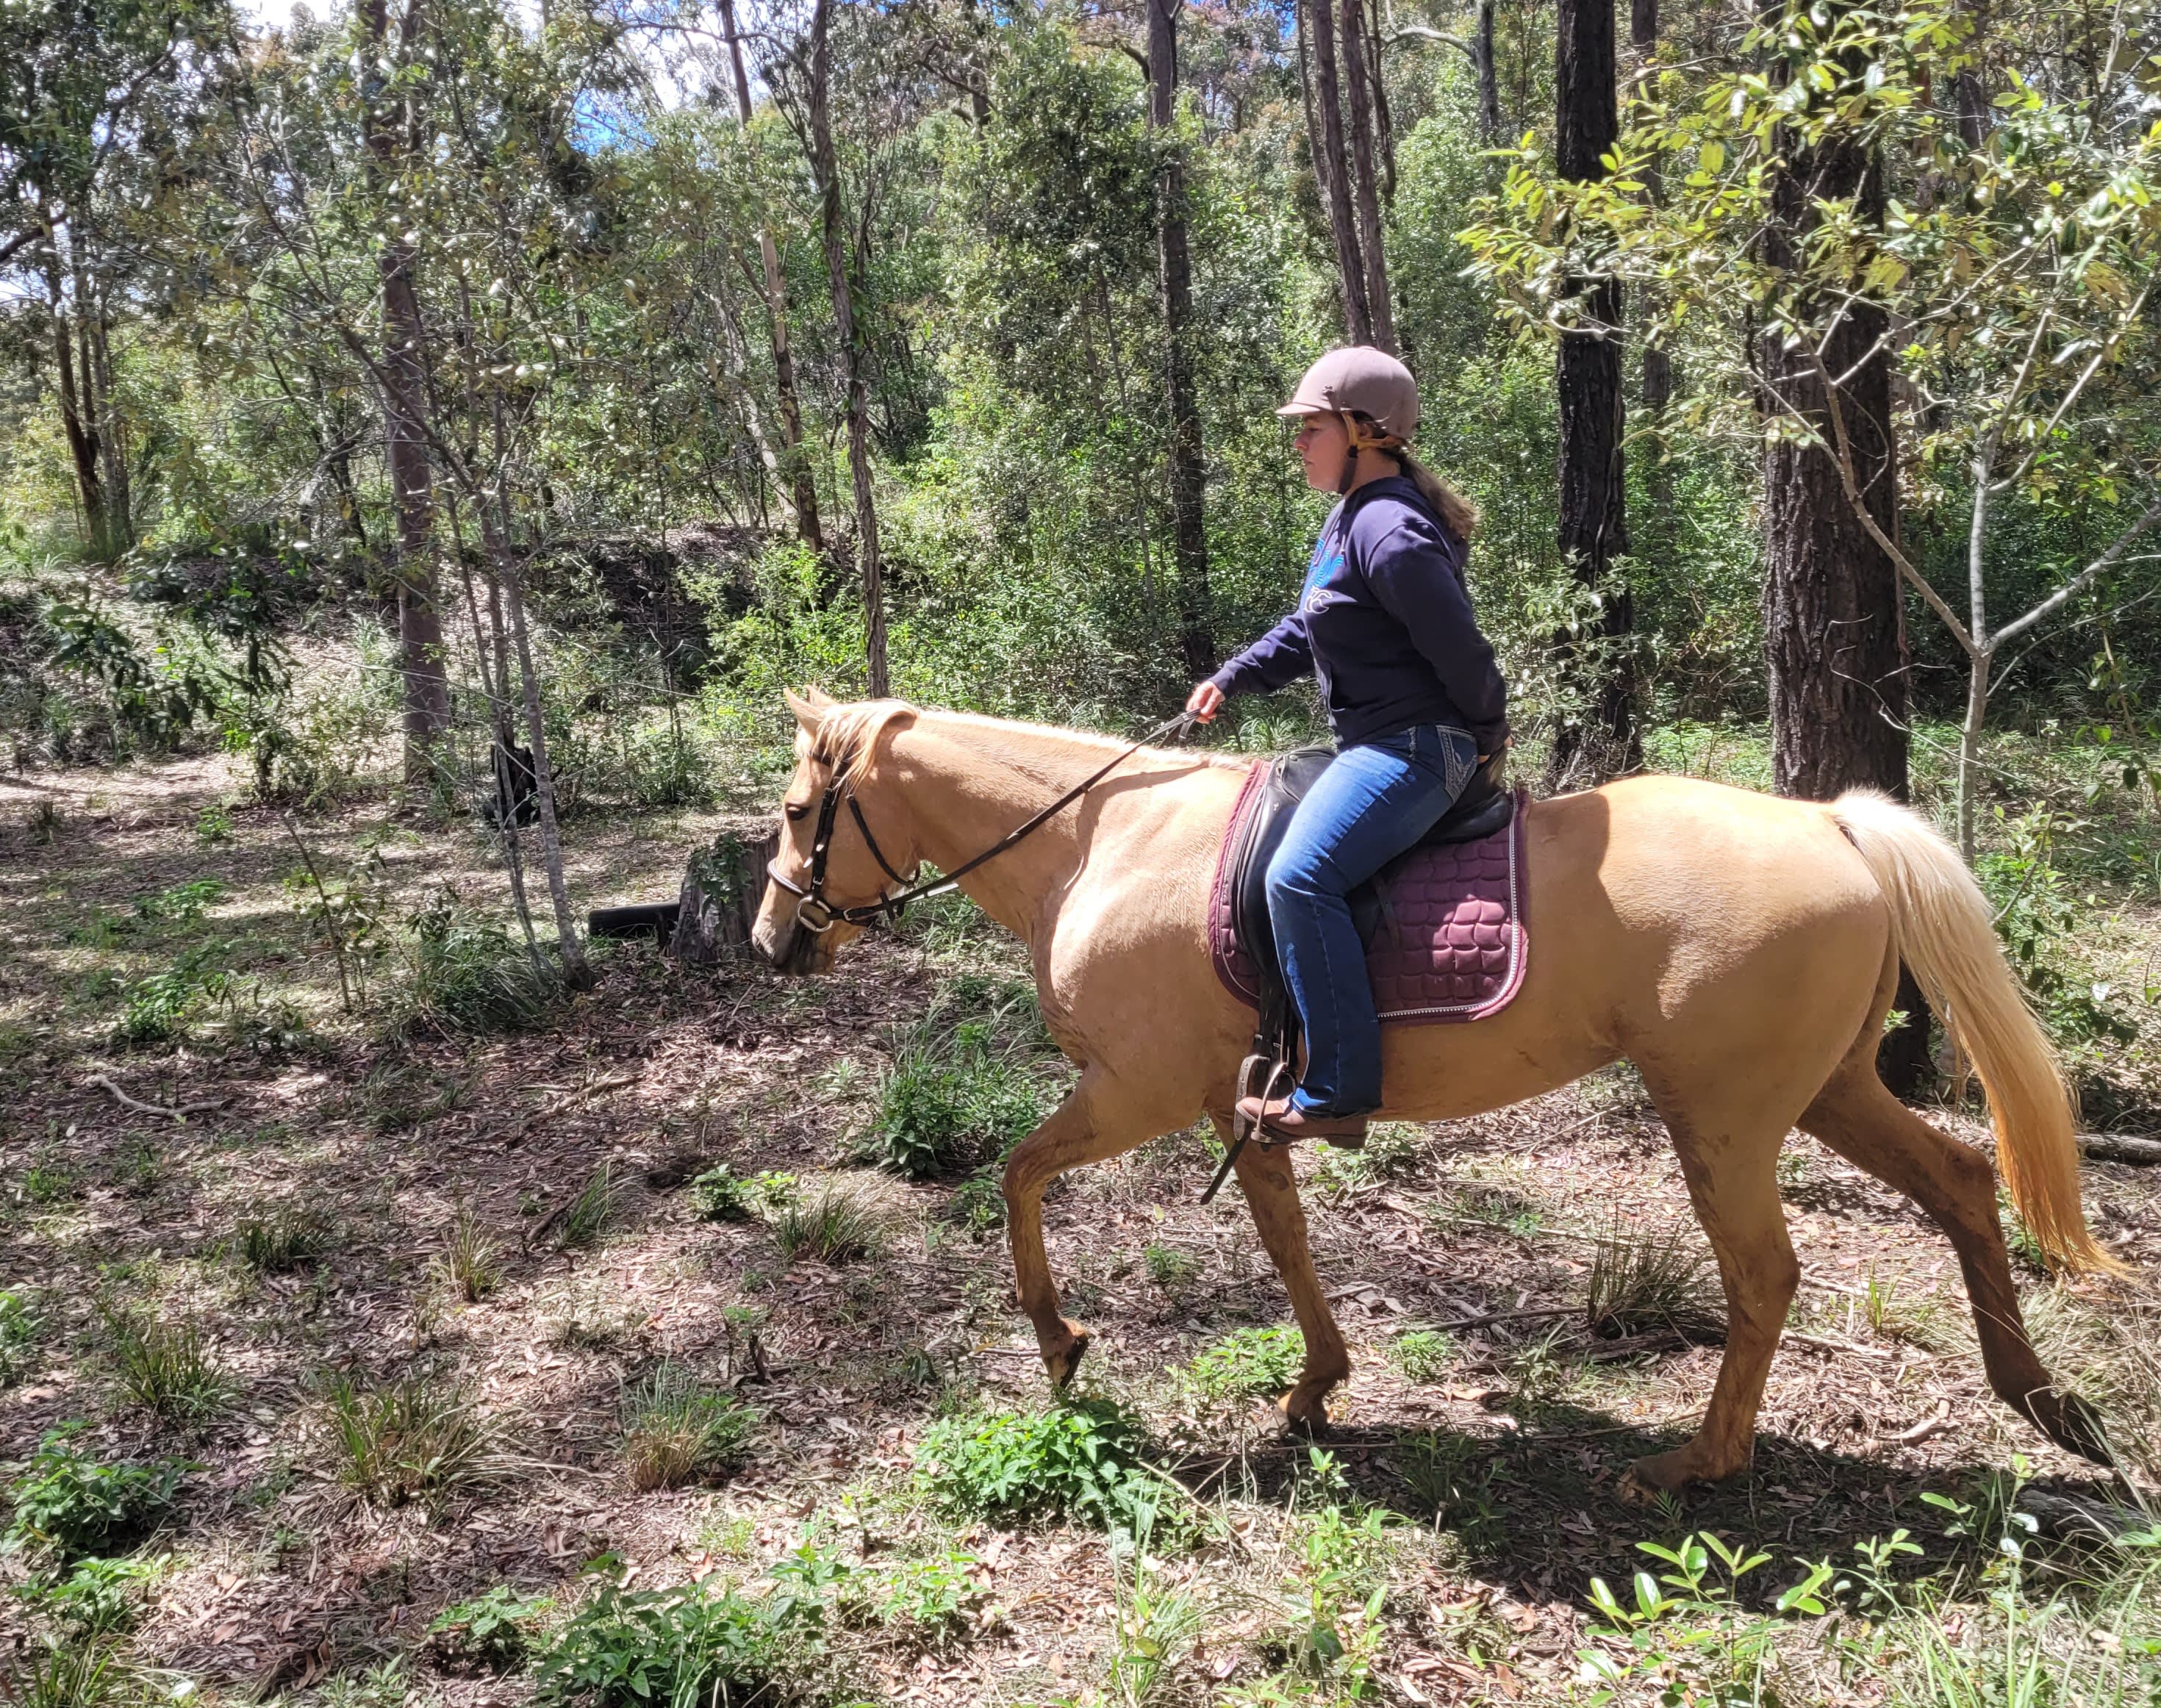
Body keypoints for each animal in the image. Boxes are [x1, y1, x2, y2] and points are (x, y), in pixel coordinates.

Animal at [750, 689, 2119, 1489]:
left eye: (804, 807)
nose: (771, 939)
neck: (1102, 844)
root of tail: (1835, 826)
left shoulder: (1135, 1091)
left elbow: (1018, 1174)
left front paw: (1061, 1338)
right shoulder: (1239, 1108)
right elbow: (1287, 1241)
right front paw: (1314, 1386)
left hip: (1726, 1118)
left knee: (1766, 1274)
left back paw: (1703, 1460)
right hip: (1829, 1090)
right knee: (1960, 1183)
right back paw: (2041, 1402)